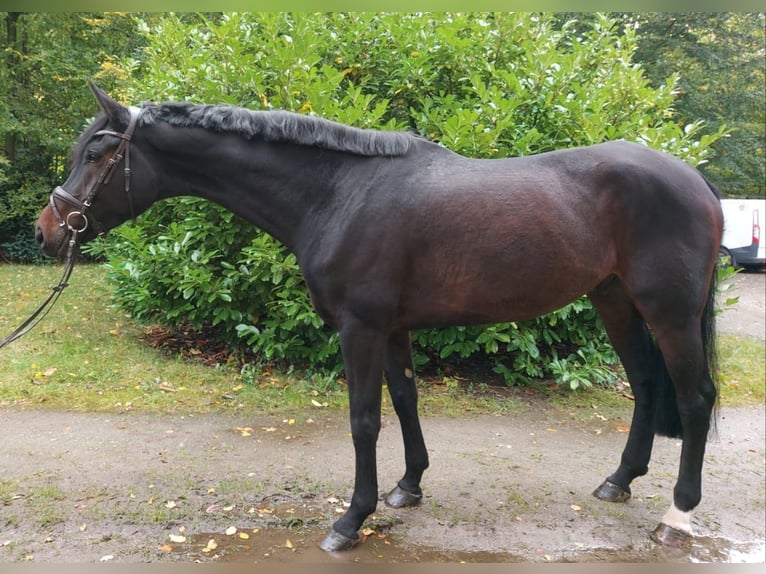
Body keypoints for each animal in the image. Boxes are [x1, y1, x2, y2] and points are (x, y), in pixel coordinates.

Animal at [36, 84, 728, 552]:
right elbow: (405, 401)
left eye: (97, 153)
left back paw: (677, 517)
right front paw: (408, 487)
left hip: (670, 313)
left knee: (694, 399)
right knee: (646, 387)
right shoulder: (393, 328)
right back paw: (619, 481)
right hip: (615, 301)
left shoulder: (361, 327)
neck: (338, 193)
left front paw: (351, 520)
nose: (48, 231)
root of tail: (696, 179)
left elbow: (364, 420)